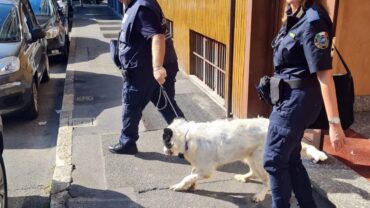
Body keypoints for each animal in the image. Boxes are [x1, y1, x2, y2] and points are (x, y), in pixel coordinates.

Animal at [162, 118, 326, 202]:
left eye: (165, 140)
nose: (163, 150)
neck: (186, 136)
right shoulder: (199, 166)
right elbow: (191, 175)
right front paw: (189, 185)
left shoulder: (206, 169)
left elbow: (187, 177)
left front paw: (179, 186)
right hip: (250, 156)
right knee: (253, 172)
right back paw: (244, 177)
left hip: (259, 159)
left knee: (266, 180)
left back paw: (260, 196)